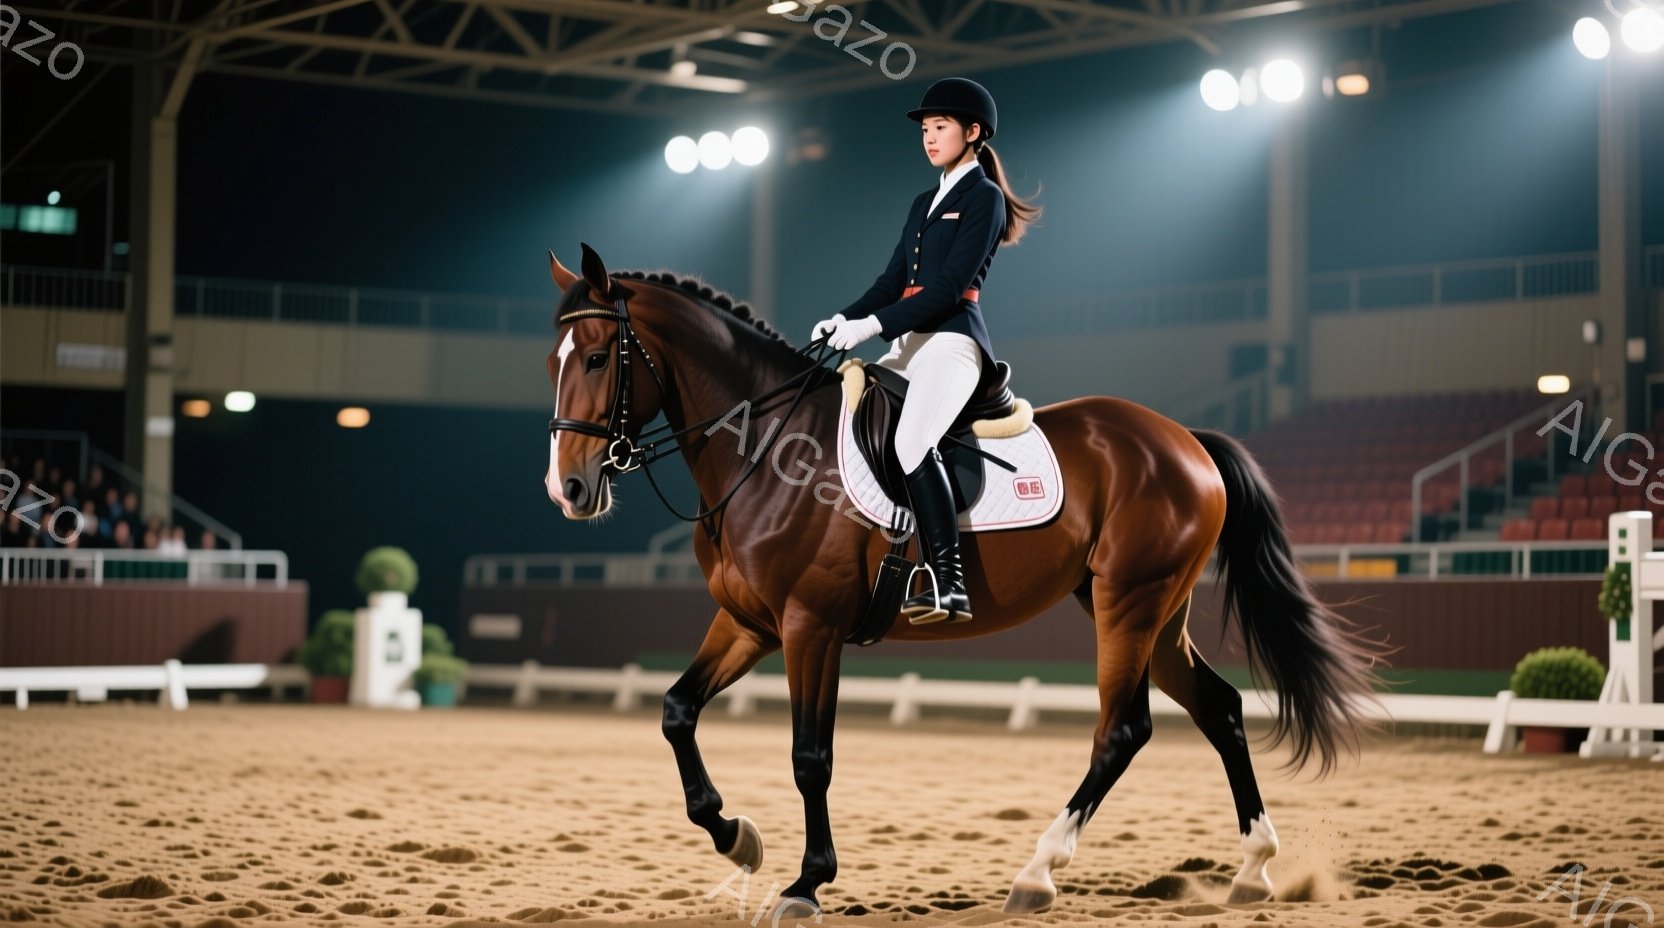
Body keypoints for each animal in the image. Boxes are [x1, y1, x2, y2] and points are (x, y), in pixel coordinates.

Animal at [542, 243, 1383, 916]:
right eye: (551, 362)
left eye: (597, 358)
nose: (569, 490)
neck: (765, 445)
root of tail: (1186, 440)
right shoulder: (750, 622)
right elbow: (676, 711)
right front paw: (735, 836)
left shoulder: (811, 627)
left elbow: (811, 757)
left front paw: (806, 883)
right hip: (1150, 610)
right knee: (1220, 709)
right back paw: (1253, 870)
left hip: (1131, 603)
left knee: (1123, 730)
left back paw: (1039, 873)